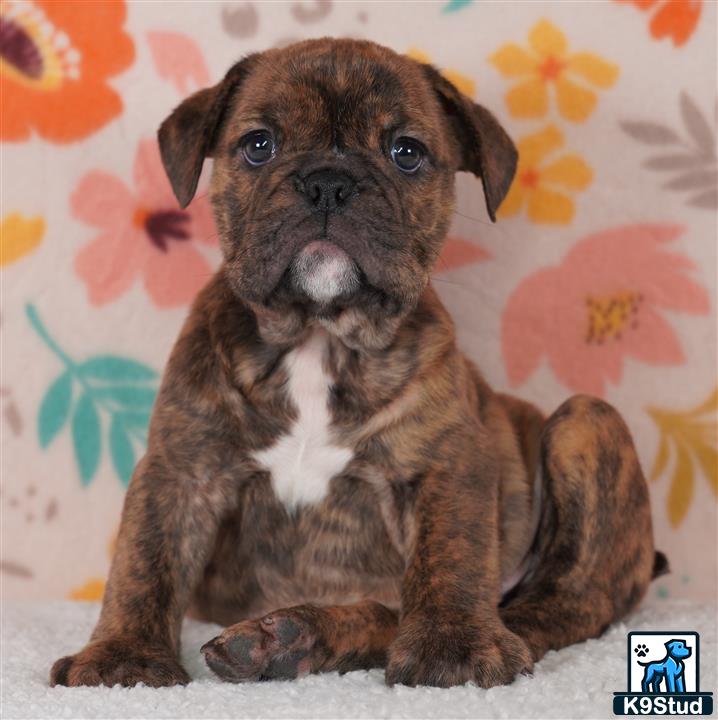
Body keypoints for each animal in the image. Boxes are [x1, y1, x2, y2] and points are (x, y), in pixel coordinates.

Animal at [50, 39, 668, 692]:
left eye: (407, 153)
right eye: (259, 144)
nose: (328, 182)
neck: (318, 336)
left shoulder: (446, 461)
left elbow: (450, 555)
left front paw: (453, 643)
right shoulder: (180, 470)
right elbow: (144, 563)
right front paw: (123, 656)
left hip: (586, 421)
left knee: (557, 604)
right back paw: (289, 640)